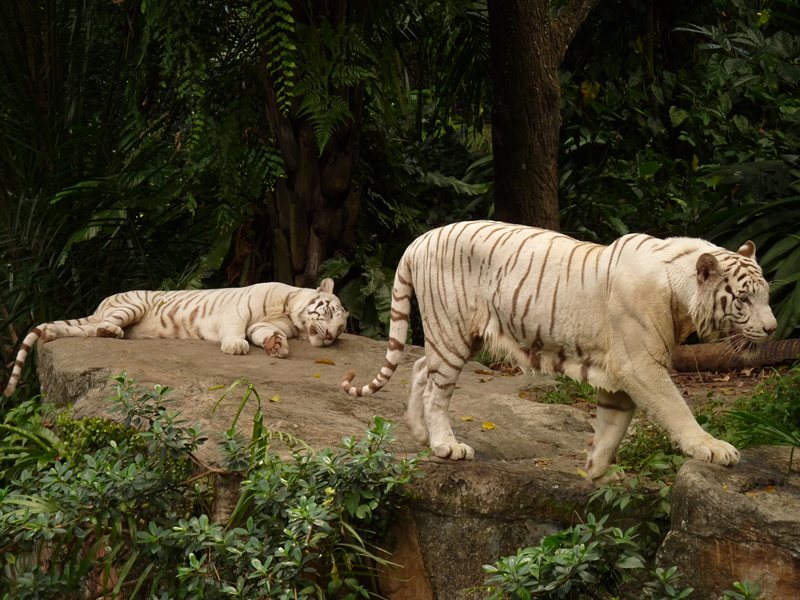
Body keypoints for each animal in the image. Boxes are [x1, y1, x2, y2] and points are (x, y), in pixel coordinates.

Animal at [3, 278, 347, 397]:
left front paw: (276, 345)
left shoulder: (263, 325)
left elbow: (266, 333)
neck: (289, 312)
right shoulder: (237, 313)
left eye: (343, 327)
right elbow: (237, 330)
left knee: (87, 329)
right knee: (100, 327)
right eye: (330, 312)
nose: (331, 336)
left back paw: (53, 332)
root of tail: (101, 303)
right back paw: (109, 330)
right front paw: (236, 346)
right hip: (132, 306)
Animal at [341, 220, 777, 483]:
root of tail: (421, 239)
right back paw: (445, 446)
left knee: (420, 369)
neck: (681, 296)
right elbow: (677, 408)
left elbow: (611, 428)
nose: (773, 329)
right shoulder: (641, 365)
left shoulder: (620, 373)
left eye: (767, 295)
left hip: (461, 336)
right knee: (436, 389)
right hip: (452, 329)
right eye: (743, 298)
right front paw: (713, 448)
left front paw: (598, 474)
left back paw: (420, 435)